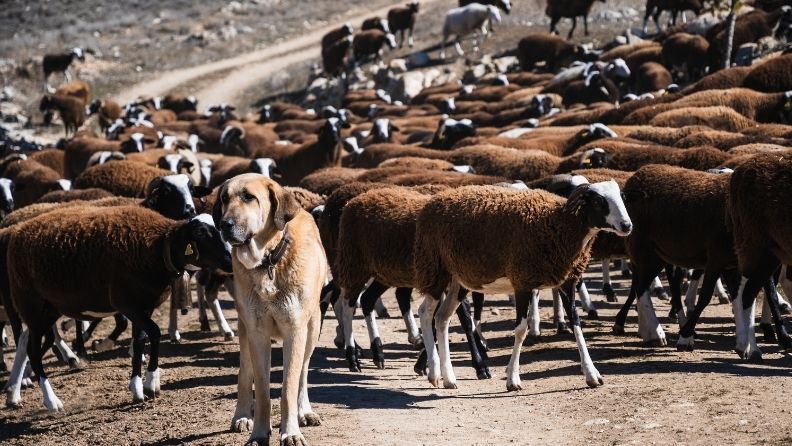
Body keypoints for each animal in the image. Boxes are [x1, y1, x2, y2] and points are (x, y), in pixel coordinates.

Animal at [3, 205, 232, 410]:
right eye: (201, 233)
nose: (231, 261)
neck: (157, 249)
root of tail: (16, 234)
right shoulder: (127, 304)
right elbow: (154, 333)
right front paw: (150, 383)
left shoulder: (144, 306)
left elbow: (139, 341)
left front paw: (137, 389)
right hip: (31, 305)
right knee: (32, 351)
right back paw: (51, 401)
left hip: (49, 309)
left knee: (28, 344)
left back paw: (15, 391)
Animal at [412, 181, 632, 389]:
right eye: (597, 201)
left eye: (621, 197)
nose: (627, 225)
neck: (559, 224)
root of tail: (432, 203)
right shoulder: (522, 282)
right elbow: (520, 330)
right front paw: (513, 379)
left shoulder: (567, 281)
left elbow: (576, 323)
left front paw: (592, 374)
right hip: (436, 269)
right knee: (425, 313)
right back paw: (434, 373)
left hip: (459, 279)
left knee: (442, 318)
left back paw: (449, 378)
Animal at [726, 152, 792, 361]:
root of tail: (738, 171)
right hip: (755, 245)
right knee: (746, 294)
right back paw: (751, 349)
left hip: (770, 252)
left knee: (744, 291)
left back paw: (745, 346)